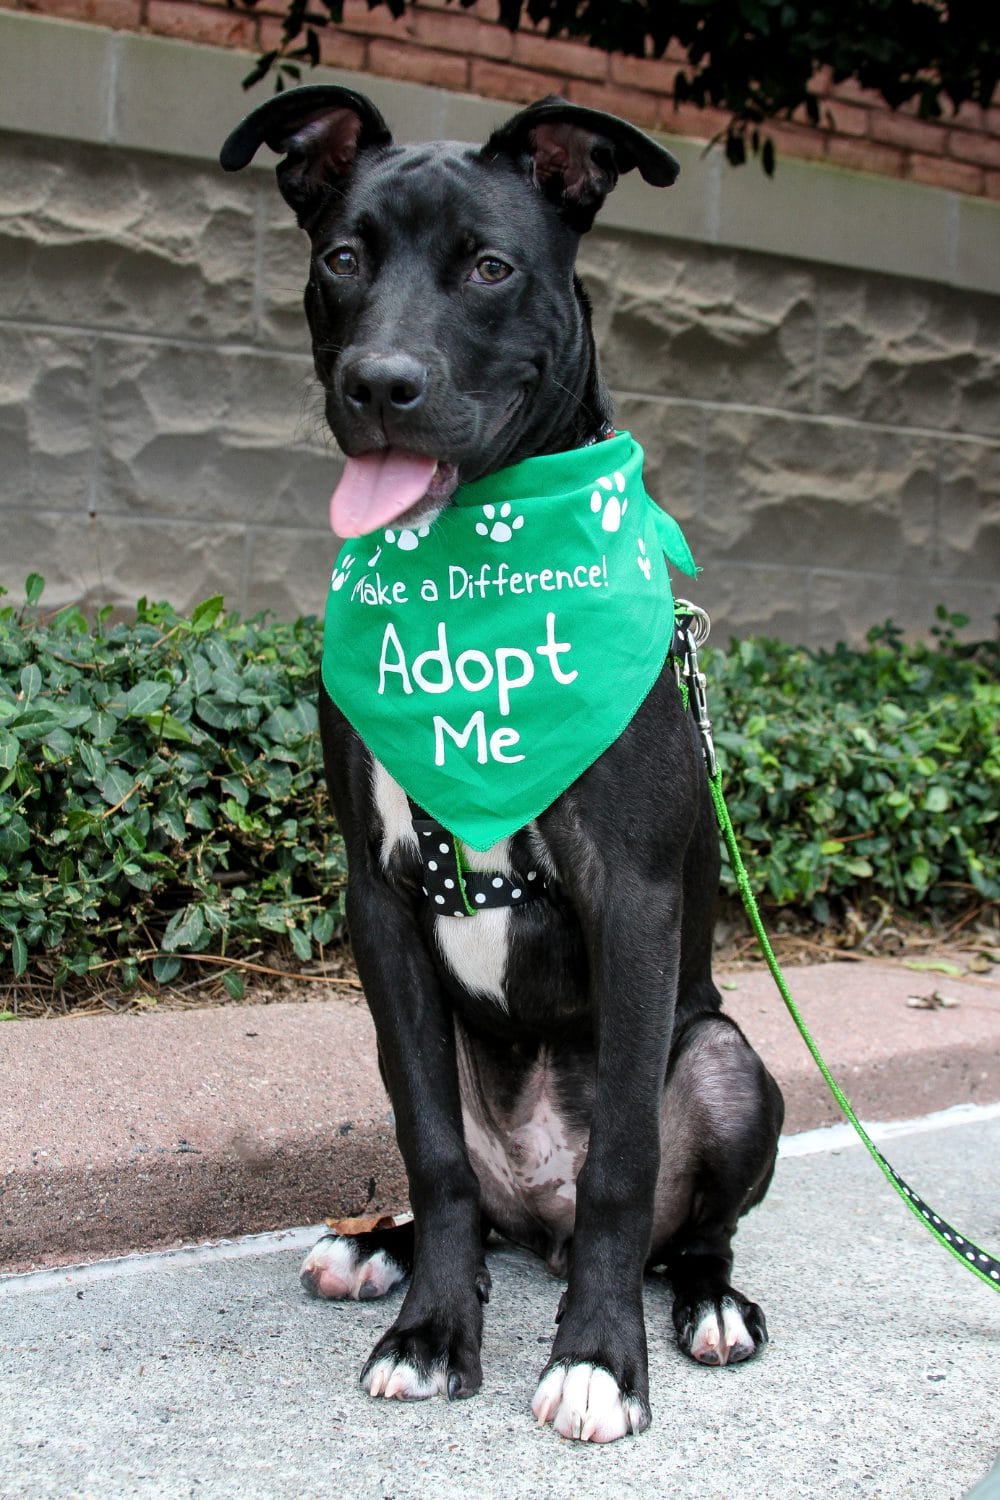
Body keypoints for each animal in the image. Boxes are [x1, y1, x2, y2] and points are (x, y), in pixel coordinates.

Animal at [220, 86, 784, 1444]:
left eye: (489, 269)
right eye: (343, 259)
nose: (381, 383)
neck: (470, 568)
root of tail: (542, 1216)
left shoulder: (630, 895)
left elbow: (629, 1158)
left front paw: (595, 1359)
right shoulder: (376, 901)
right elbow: (430, 1148)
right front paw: (431, 1331)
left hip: (726, 1059)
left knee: (685, 1224)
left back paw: (703, 1303)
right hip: (413, 1053)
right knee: (467, 1200)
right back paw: (387, 1245)